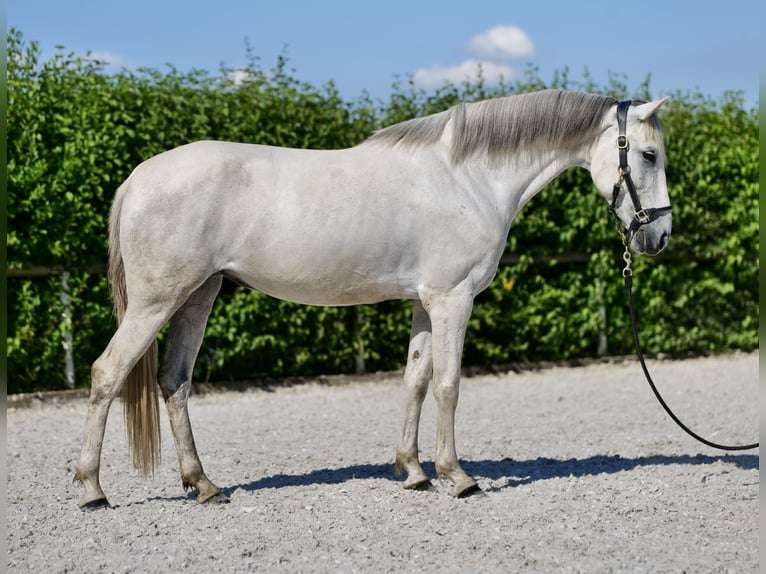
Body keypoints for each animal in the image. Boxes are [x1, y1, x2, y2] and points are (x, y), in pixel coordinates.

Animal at [73, 89, 672, 508]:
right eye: (647, 154)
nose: (659, 236)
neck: (468, 178)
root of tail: (137, 178)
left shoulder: (424, 303)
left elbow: (415, 380)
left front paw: (413, 472)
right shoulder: (452, 300)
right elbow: (449, 385)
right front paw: (457, 477)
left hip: (198, 296)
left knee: (174, 381)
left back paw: (202, 485)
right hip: (157, 300)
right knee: (107, 373)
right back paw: (93, 490)